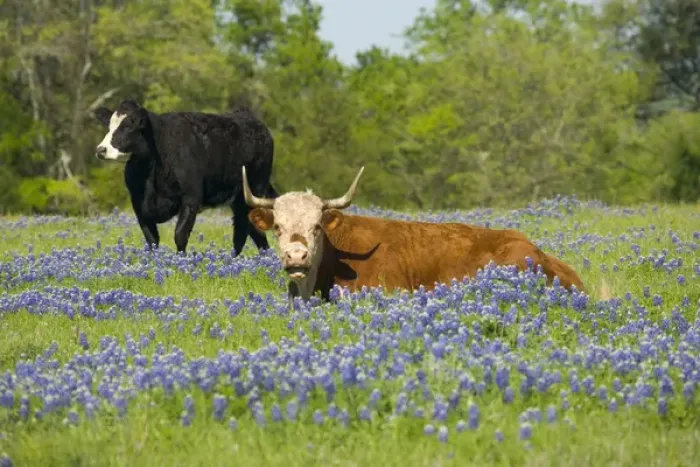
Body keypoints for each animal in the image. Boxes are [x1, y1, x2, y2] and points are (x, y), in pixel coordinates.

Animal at [92, 98, 277, 255]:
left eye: (129, 126)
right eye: (109, 126)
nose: (101, 149)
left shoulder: (191, 198)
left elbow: (180, 235)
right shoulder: (139, 204)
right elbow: (152, 240)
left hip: (254, 189)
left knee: (243, 230)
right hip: (238, 199)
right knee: (251, 230)